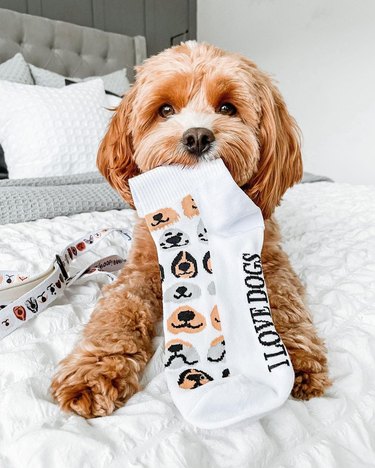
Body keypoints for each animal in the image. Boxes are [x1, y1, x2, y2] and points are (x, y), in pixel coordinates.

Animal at [50, 42, 332, 418]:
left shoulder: (271, 261)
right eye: (165, 110)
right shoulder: (139, 271)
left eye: (227, 107)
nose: (198, 136)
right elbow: (118, 313)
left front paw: (299, 358)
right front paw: (93, 371)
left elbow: (286, 303)